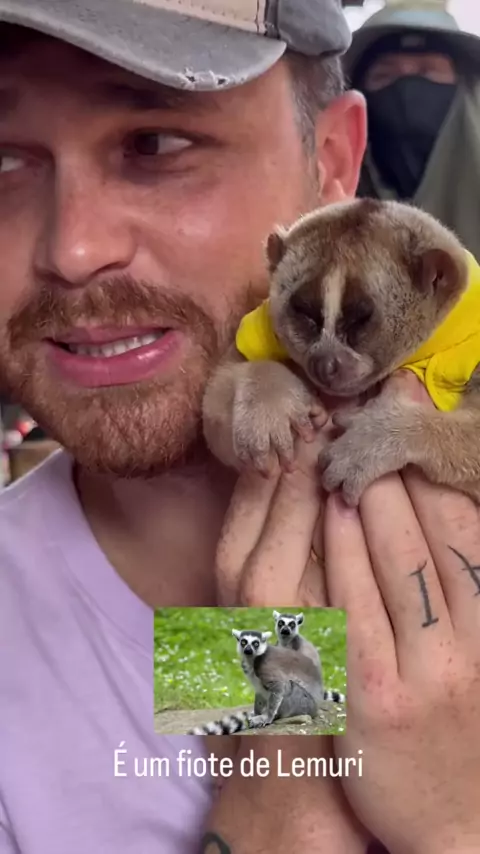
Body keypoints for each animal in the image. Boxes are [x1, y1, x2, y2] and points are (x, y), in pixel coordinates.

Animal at [188, 628, 331, 736]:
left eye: (255, 643)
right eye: (244, 642)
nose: (248, 650)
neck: (253, 660)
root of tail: (316, 707)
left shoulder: (265, 666)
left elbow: (279, 685)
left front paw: (266, 717)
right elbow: (260, 691)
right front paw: (257, 713)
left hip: (304, 704)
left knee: (289, 686)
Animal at [202, 197, 480, 507]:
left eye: (360, 320)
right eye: (307, 315)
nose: (325, 364)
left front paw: (375, 436)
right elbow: (214, 405)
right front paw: (269, 403)